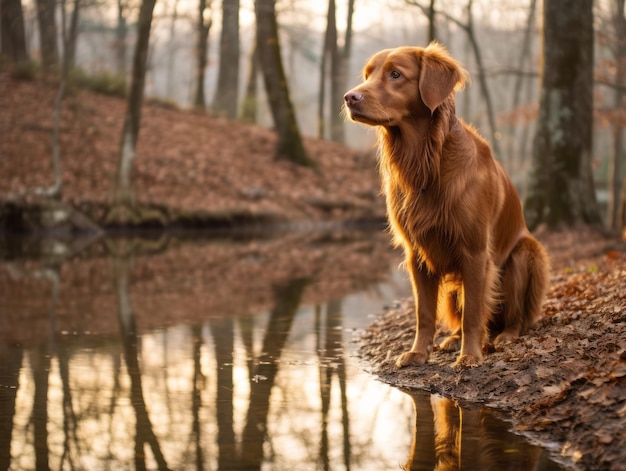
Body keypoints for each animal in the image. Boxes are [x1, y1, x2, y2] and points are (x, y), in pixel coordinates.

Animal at [344, 42, 548, 368]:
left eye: (395, 74)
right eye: (367, 75)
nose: (350, 97)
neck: (426, 163)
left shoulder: (475, 252)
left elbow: (474, 313)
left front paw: (470, 355)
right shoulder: (417, 253)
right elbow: (424, 313)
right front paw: (418, 352)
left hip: (525, 254)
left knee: (514, 316)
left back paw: (504, 336)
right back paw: (452, 339)